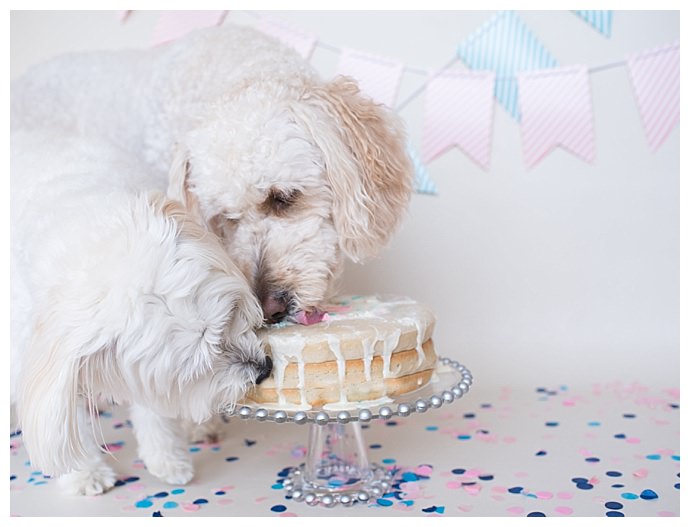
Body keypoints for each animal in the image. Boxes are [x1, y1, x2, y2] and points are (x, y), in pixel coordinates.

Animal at [10, 130, 272, 498]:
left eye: (230, 317)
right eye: (198, 366)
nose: (264, 368)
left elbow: (153, 409)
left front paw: (167, 457)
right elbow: (64, 423)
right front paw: (84, 473)